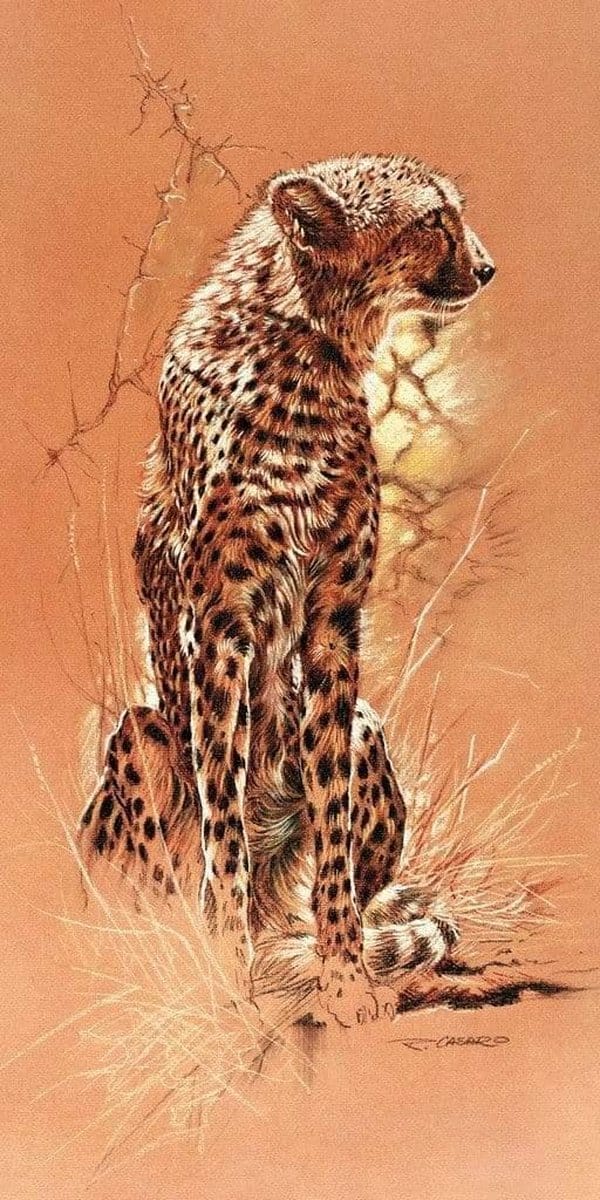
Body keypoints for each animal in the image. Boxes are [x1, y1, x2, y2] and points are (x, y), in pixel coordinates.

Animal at [78, 153, 495, 1027]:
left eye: (454, 213)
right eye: (431, 219)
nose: (485, 267)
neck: (307, 348)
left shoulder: (333, 621)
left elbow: (332, 824)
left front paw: (343, 977)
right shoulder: (218, 627)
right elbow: (224, 823)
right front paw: (223, 978)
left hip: (368, 726)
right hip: (142, 731)